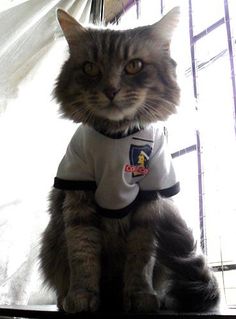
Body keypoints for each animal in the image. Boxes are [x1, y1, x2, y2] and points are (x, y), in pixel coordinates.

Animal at [39, 8, 219, 316]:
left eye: (134, 66)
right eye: (90, 68)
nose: (111, 90)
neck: (117, 135)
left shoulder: (151, 199)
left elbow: (140, 259)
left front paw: (140, 296)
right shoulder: (78, 191)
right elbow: (83, 255)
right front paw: (82, 296)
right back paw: (66, 299)